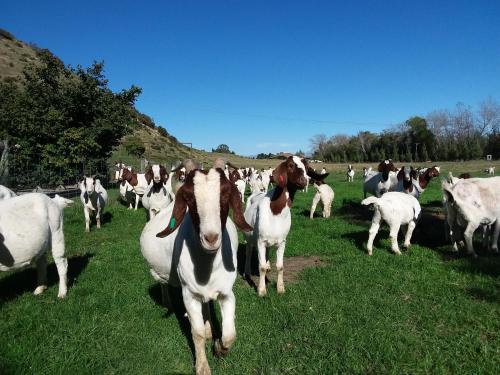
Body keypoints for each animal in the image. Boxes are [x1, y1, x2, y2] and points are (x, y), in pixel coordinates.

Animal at [139, 160, 252, 374]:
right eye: (190, 198)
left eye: (225, 195)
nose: (211, 238)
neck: (207, 266)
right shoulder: (188, 295)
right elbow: (196, 333)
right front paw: (202, 366)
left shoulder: (227, 293)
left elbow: (230, 335)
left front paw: (219, 348)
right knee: (164, 283)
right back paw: (167, 301)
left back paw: (210, 329)